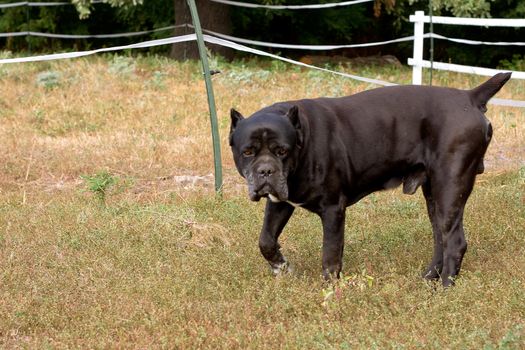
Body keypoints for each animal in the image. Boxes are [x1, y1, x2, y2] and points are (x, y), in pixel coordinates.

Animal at [227, 72, 510, 286]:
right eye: (248, 152)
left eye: (282, 151)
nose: (266, 171)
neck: (302, 138)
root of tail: (469, 96)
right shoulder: (280, 201)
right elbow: (266, 240)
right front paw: (281, 267)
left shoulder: (333, 209)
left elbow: (330, 255)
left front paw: (329, 290)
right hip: (434, 195)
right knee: (440, 236)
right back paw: (429, 279)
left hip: (450, 187)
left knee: (454, 241)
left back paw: (446, 287)